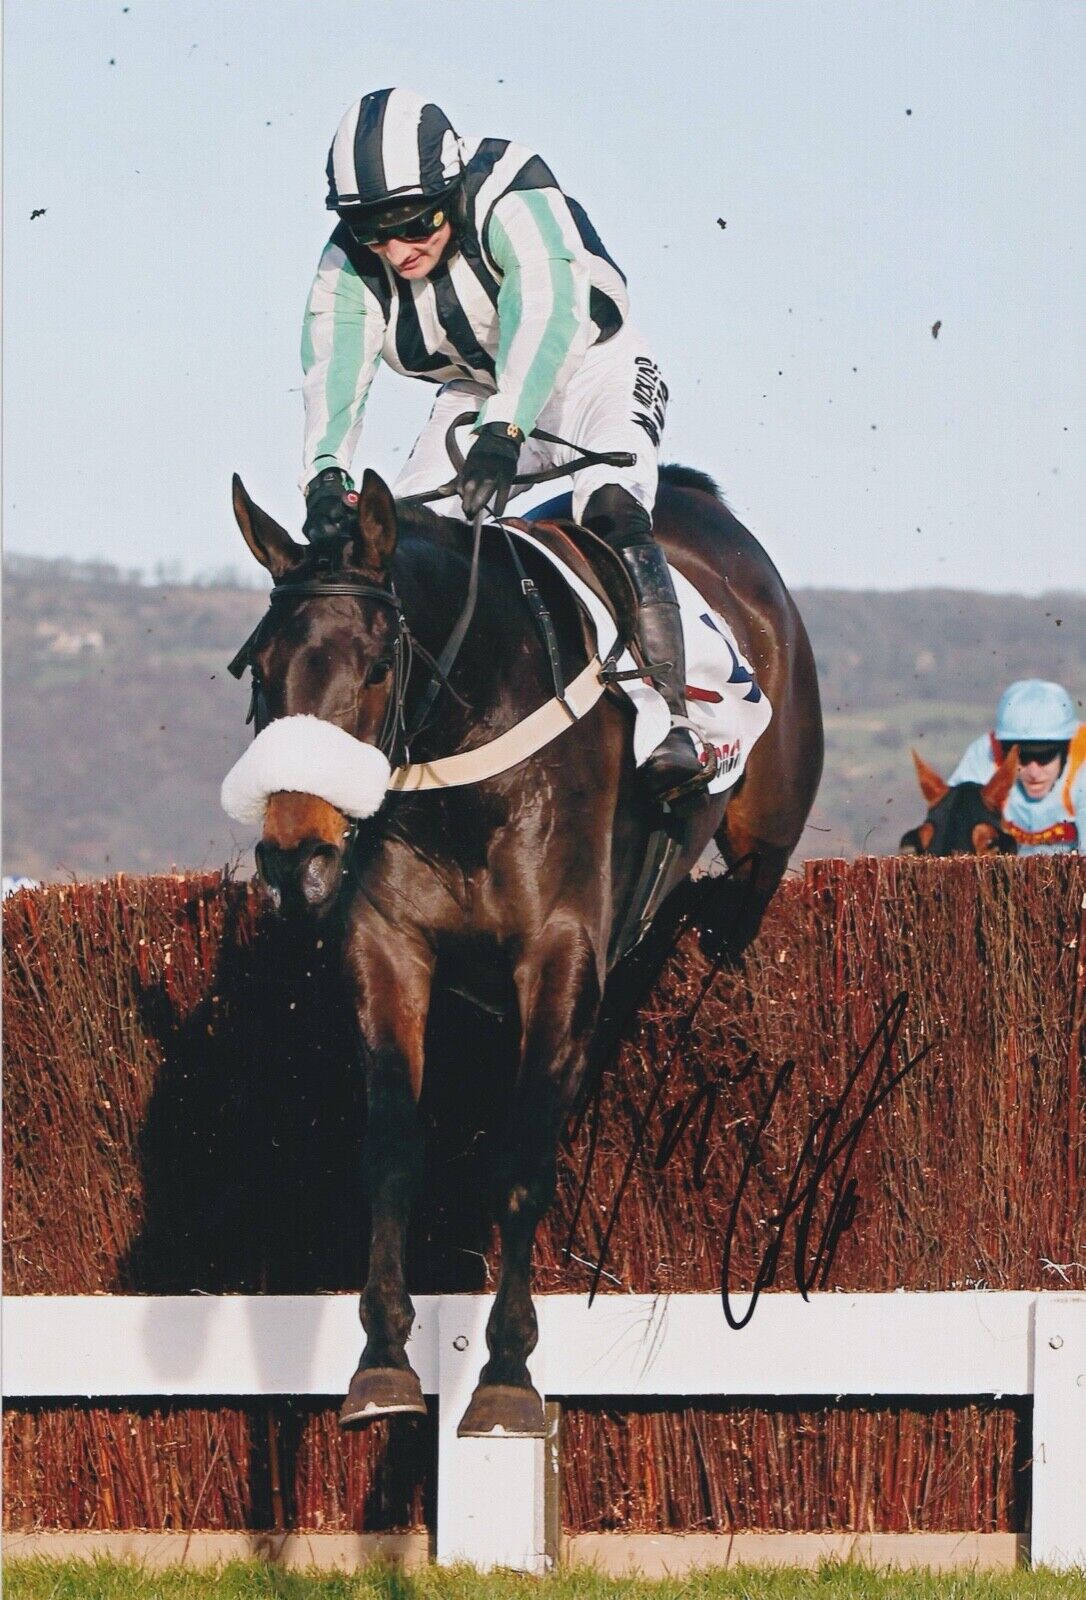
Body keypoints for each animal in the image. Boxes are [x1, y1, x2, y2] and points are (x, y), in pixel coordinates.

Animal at [228, 467, 825, 1440]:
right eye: (261, 670)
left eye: (378, 665)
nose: (296, 853)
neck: (468, 756)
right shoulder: (388, 946)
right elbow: (391, 1148)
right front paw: (383, 1358)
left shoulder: (559, 952)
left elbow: (524, 1155)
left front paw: (507, 1370)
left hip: (759, 848)